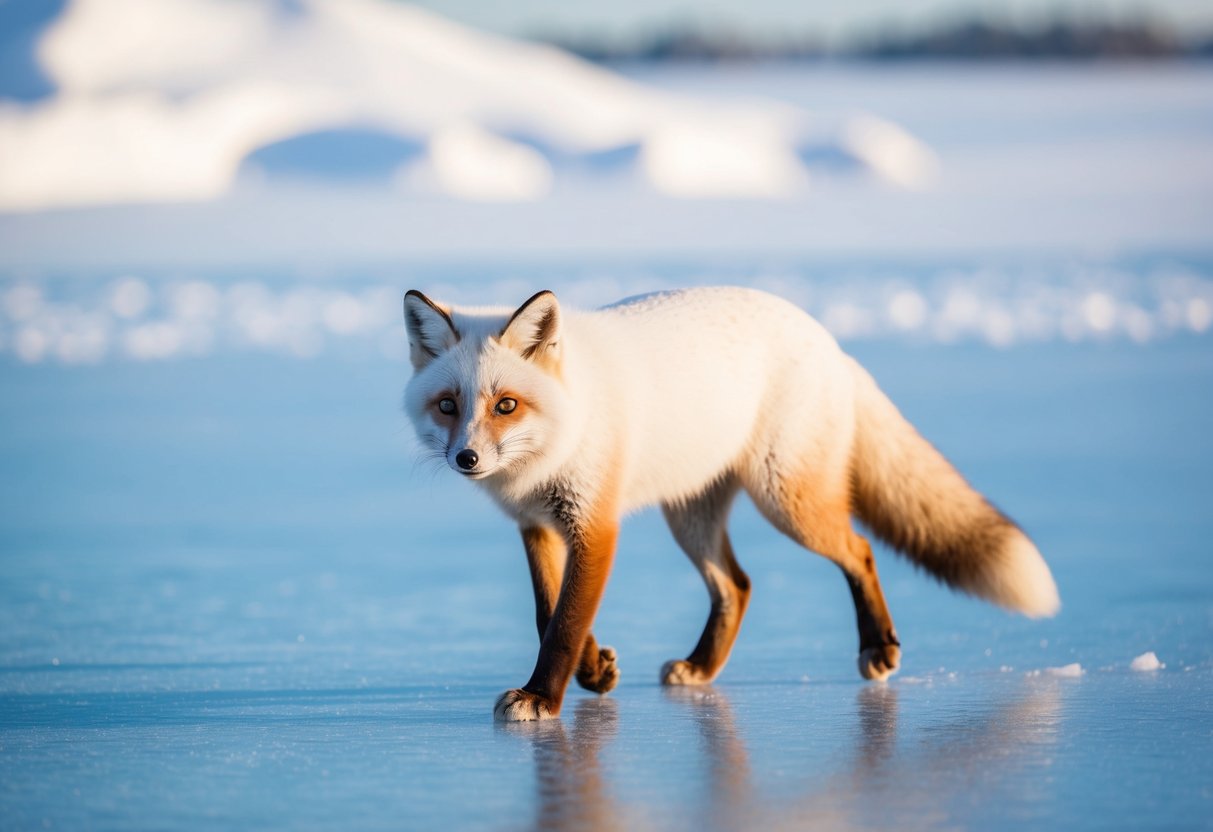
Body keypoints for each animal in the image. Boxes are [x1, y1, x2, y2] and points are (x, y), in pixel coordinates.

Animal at [402, 286, 1059, 722]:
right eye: (448, 405)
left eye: (506, 405)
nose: (466, 458)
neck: (563, 430)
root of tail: (828, 341)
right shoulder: (538, 527)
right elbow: (548, 614)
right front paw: (595, 671)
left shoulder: (595, 524)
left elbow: (565, 623)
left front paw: (543, 696)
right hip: (690, 518)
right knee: (737, 586)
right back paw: (702, 668)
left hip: (787, 503)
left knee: (860, 549)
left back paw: (878, 646)